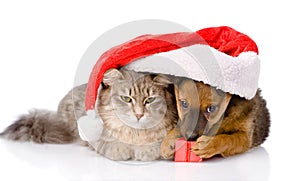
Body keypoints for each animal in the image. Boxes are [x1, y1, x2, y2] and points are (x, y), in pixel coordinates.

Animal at [0, 68, 178, 161]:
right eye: (126, 99)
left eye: (150, 100)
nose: (139, 115)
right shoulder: (97, 137)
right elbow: (110, 143)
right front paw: (120, 150)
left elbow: (155, 145)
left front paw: (146, 151)